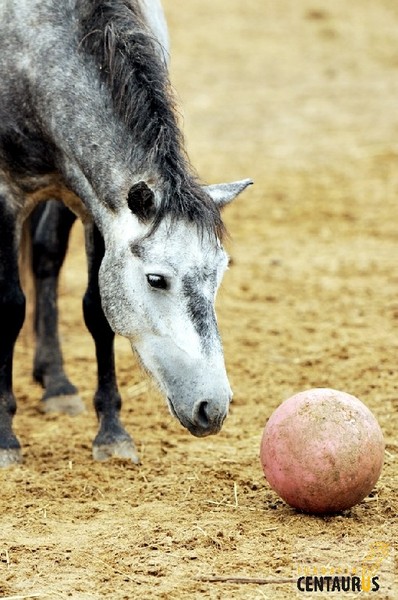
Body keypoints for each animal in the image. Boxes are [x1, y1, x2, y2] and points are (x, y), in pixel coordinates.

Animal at [0, 0, 252, 466]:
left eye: (220, 274)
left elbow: (97, 311)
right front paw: (5, 438)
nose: (213, 407)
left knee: (46, 254)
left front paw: (112, 433)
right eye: (156, 279)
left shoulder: (94, 205)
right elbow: (9, 307)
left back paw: (56, 382)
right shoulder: (6, 194)